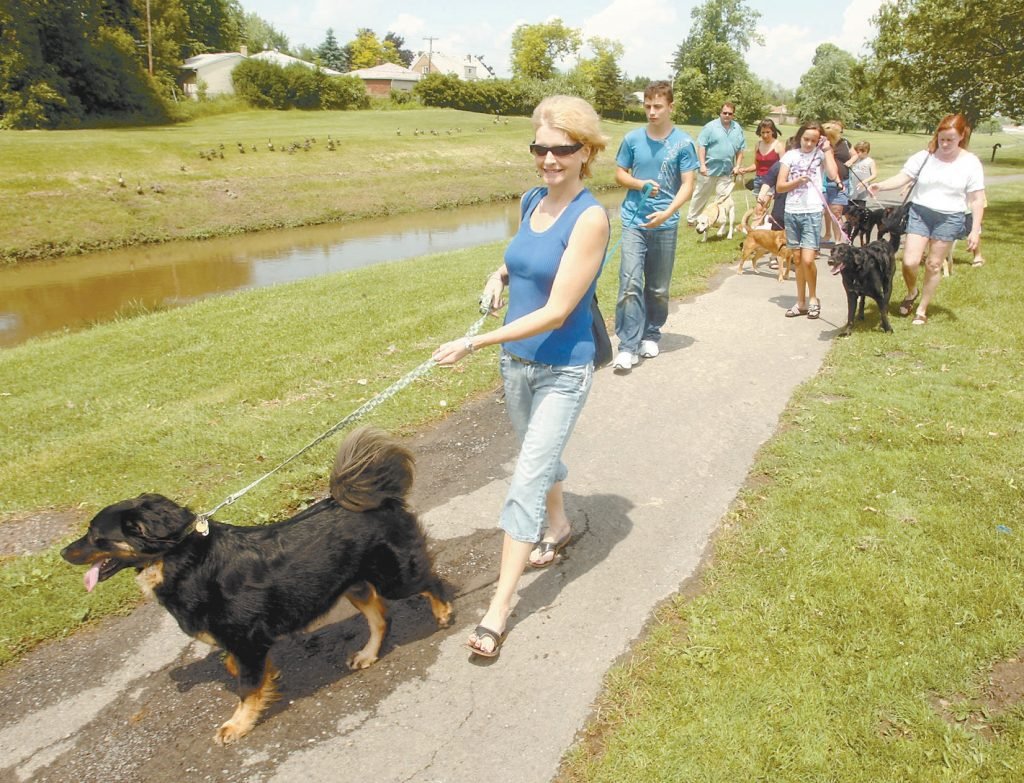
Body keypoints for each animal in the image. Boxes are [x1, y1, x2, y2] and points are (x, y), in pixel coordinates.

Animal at [58, 427, 452, 745]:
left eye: (95, 537)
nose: (63, 552)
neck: (182, 559)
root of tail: (383, 500)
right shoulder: (243, 643)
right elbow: (239, 669)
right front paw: (259, 679)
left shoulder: (246, 639)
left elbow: (246, 687)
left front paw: (238, 724)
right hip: (353, 585)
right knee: (380, 617)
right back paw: (369, 654)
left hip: (396, 577)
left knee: (433, 582)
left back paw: (444, 613)